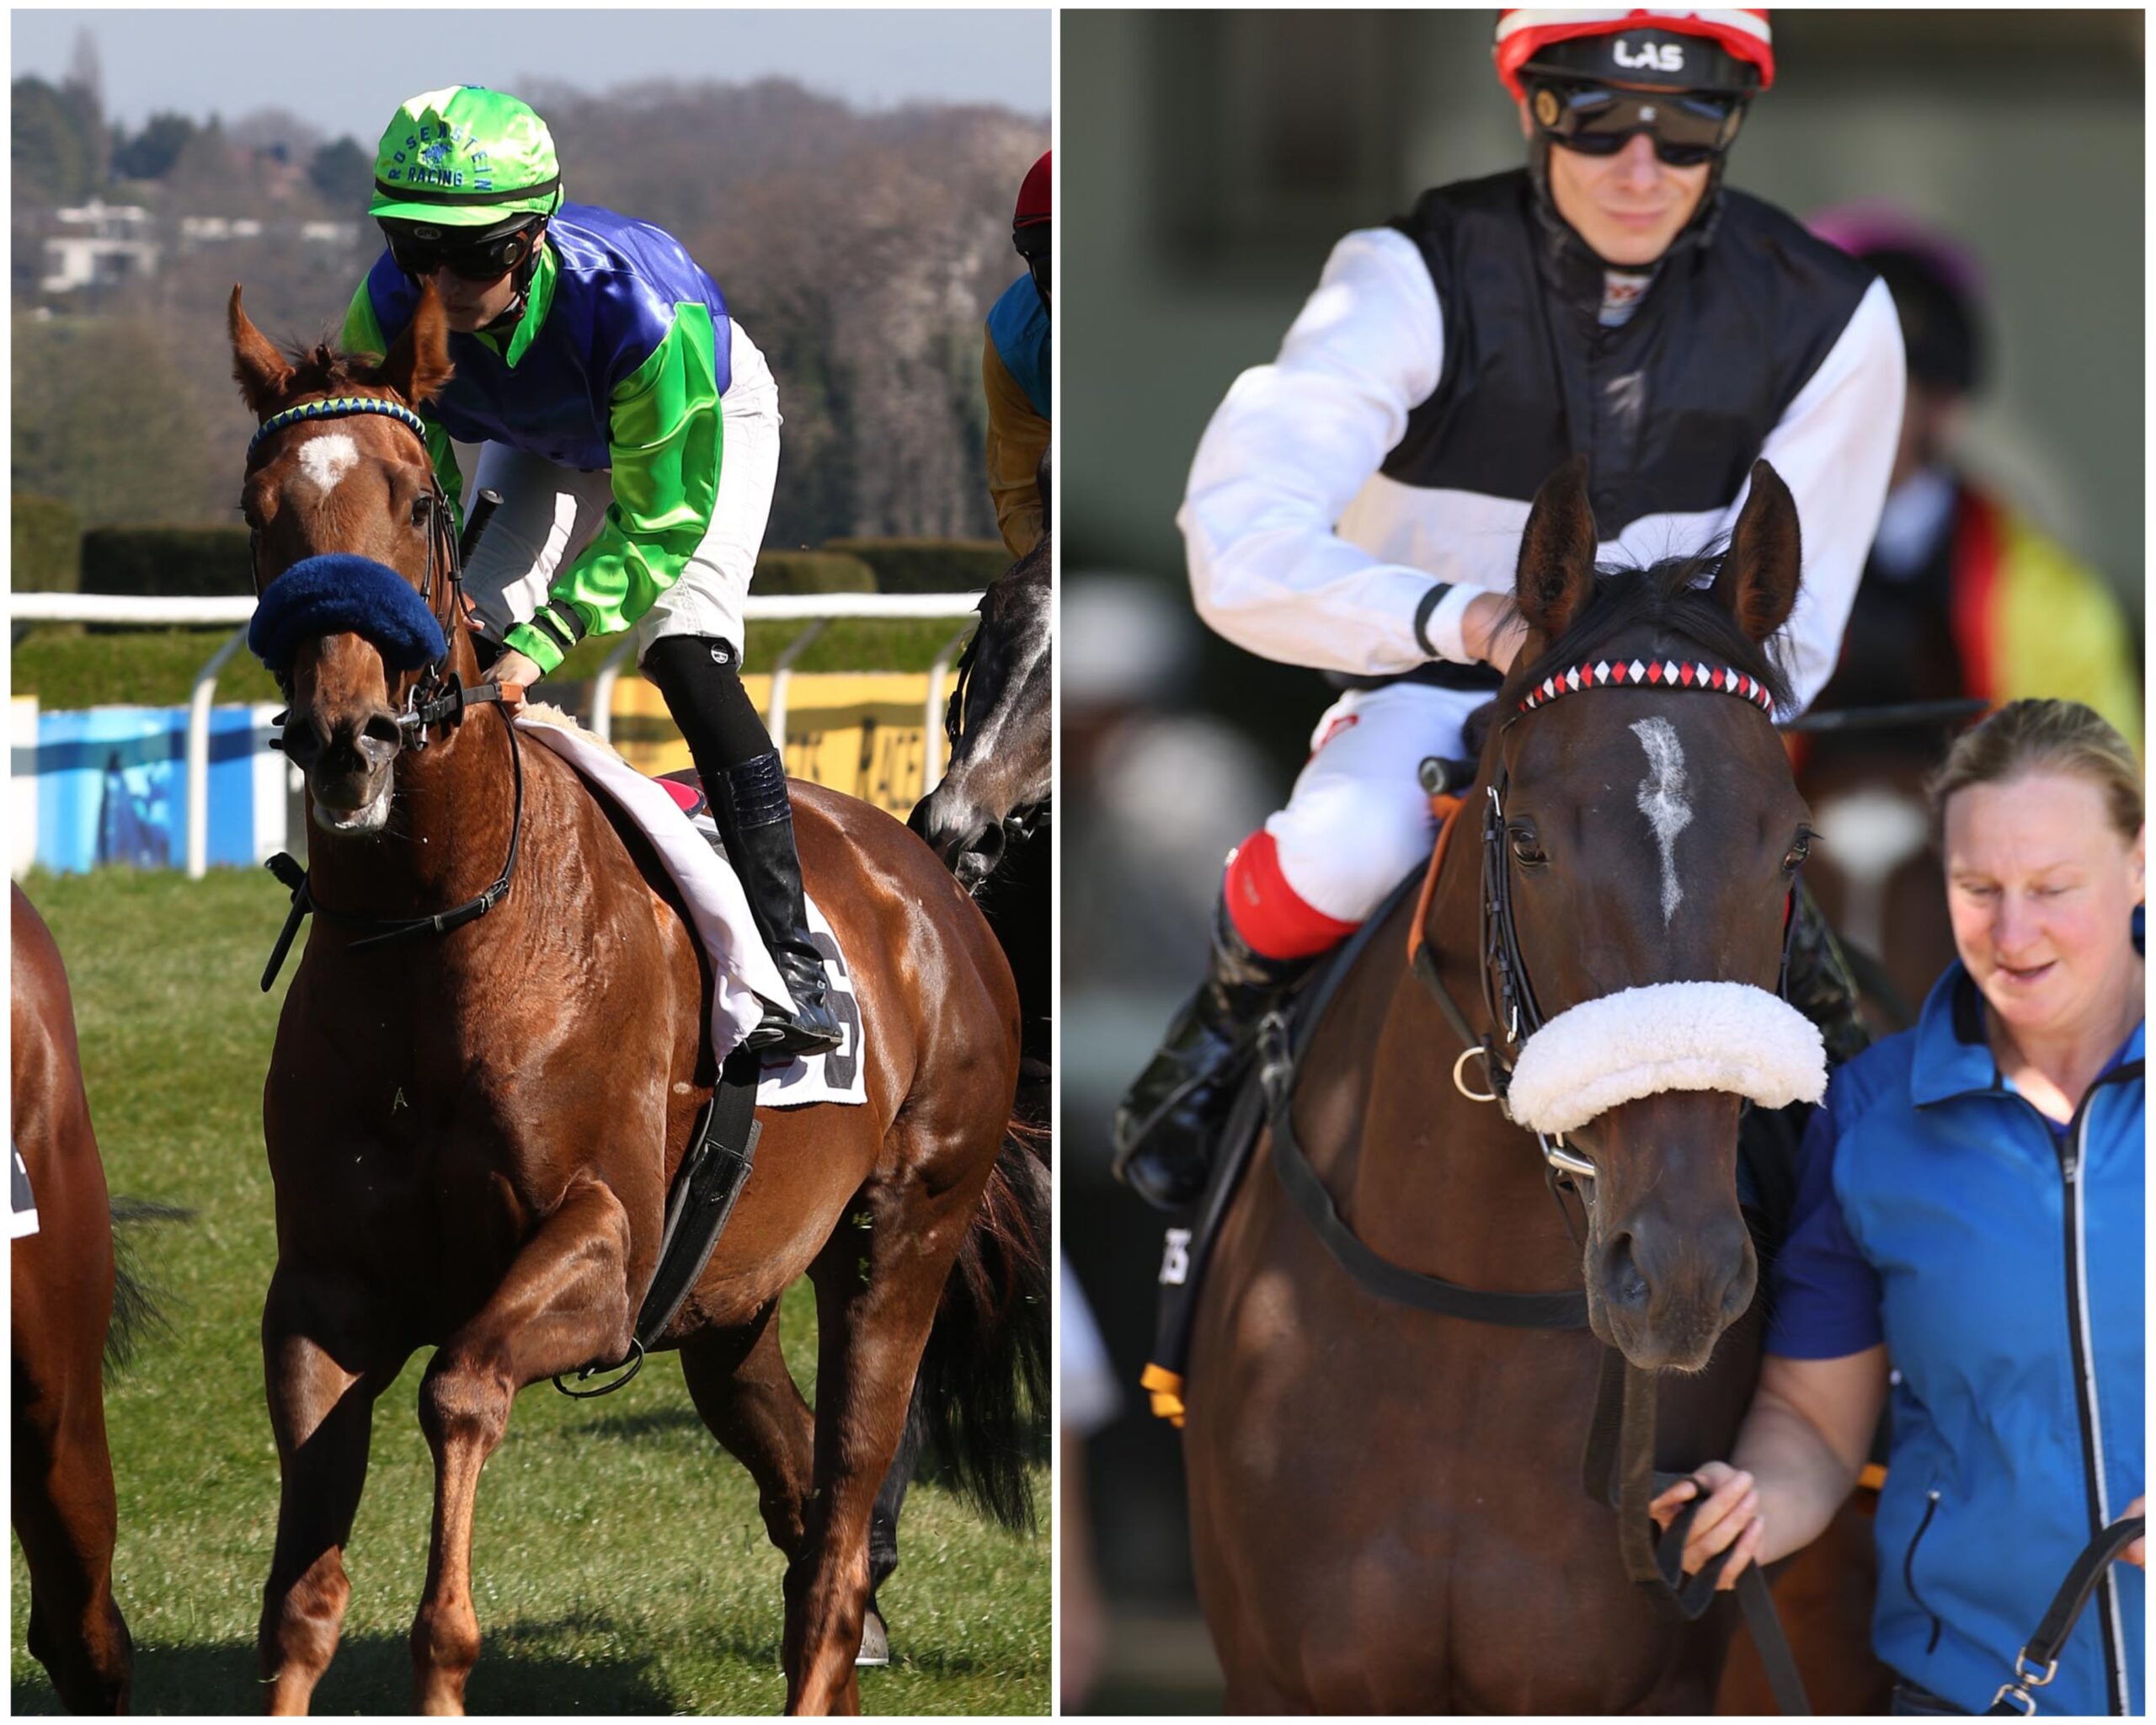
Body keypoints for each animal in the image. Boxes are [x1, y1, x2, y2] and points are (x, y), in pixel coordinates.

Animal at [227, 283, 1040, 1716]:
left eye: (417, 501)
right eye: (261, 508)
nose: (348, 737)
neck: (437, 935)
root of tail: (935, 874)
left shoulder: (603, 1257)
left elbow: (458, 1392)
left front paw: (445, 1656)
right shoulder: (324, 1286)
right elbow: (301, 1602)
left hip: (904, 1236)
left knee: (841, 1525)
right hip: (733, 1291)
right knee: (797, 1493)